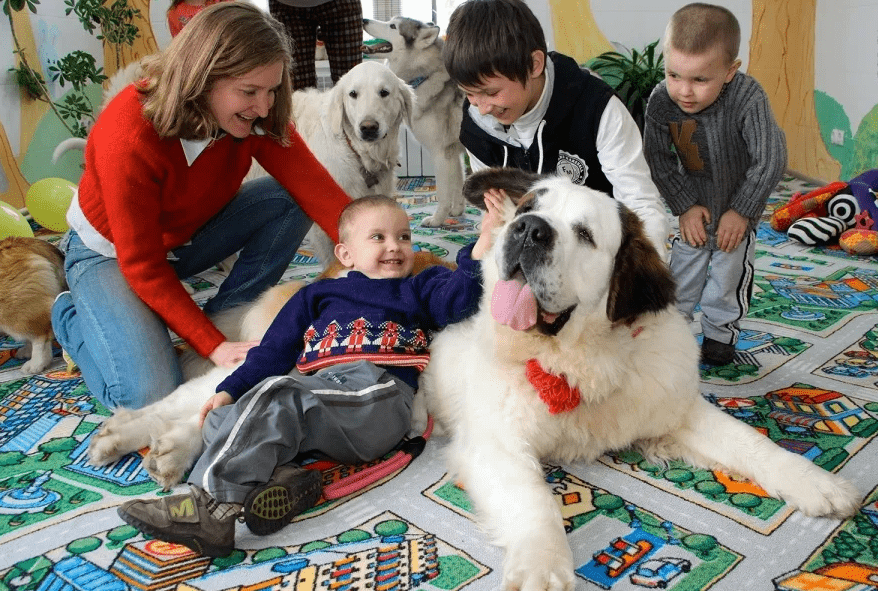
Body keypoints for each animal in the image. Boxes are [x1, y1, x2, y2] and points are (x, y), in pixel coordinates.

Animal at [362, 17, 468, 227]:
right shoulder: (453, 153)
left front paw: (437, 219)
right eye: (390, 21)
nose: (364, 20)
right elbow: (457, 184)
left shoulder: (441, 154)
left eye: (393, 26)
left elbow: (443, 192)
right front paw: (457, 210)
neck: (424, 77)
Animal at [416, 166, 864, 591]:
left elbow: (751, 442)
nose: (528, 228)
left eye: (584, 234)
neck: (584, 361)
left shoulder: (676, 406)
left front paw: (819, 484)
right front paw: (542, 567)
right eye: (528, 208)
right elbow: (535, 501)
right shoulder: (499, 444)